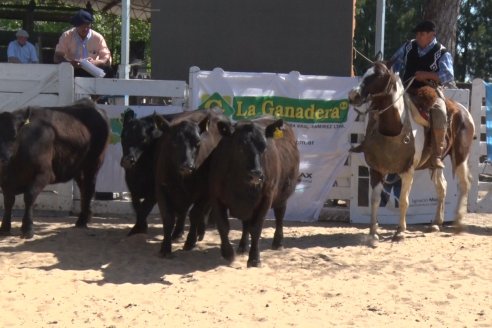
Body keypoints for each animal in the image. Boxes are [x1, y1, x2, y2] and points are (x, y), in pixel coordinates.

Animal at [0, 97, 109, 238]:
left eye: (14, 135)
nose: (2, 158)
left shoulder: (44, 174)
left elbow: (29, 196)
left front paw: (28, 228)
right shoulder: (5, 179)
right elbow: (8, 200)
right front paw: (5, 228)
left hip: (93, 164)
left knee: (89, 187)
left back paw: (82, 220)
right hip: (78, 168)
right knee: (84, 188)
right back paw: (83, 218)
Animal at [154, 109, 231, 258]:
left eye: (197, 142)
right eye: (173, 142)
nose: (187, 166)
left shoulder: (205, 192)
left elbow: (195, 214)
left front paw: (190, 242)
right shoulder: (161, 189)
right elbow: (168, 217)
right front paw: (165, 247)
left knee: (204, 211)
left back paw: (200, 232)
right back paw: (177, 233)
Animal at [209, 116, 300, 268]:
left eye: (264, 147)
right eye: (240, 147)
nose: (256, 174)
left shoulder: (266, 198)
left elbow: (256, 229)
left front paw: (254, 259)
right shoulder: (216, 197)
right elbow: (223, 226)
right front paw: (228, 253)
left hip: (283, 194)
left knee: (280, 215)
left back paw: (278, 242)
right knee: (246, 224)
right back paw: (242, 246)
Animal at [348, 60, 474, 243]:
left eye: (379, 75)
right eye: (365, 72)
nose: (353, 95)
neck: (394, 128)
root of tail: (462, 111)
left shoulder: (408, 171)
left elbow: (403, 200)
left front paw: (400, 231)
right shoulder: (376, 169)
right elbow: (375, 200)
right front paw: (373, 232)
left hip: (461, 156)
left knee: (464, 184)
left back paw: (458, 223)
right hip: (434, 163)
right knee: (442, 187)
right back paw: (436, 223)